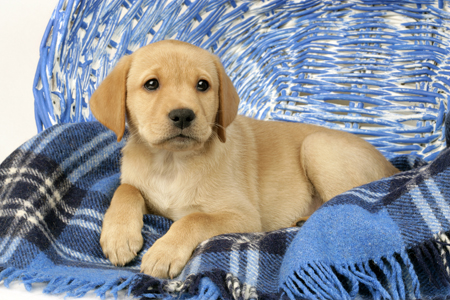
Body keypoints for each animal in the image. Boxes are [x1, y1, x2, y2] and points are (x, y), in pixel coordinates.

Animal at [89, 39, 400, 278]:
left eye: (203, 85)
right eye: (151, 84)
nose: (183, 115)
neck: (171, 163)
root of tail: (392, 166)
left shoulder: (243, 216)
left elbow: (193, 219)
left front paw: (163, 253)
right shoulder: (139, 188)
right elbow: (126, 190)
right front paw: (119, 236)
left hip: (318, 145)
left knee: (343, 201)